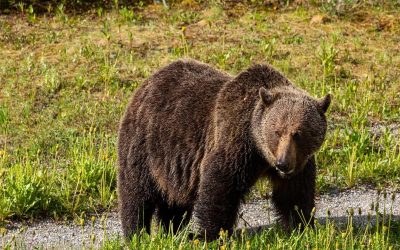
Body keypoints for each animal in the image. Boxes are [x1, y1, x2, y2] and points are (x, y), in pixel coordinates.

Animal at [117, 58, 330, 240]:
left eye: (298, 133)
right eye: (277, 131)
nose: (283, 163)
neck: (261, 152)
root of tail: (148, 82)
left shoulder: (299, 165)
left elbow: (295, 196)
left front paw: (301, 228)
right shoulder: (235, 143)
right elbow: (220, 188)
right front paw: (210, 235)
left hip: (174, 166)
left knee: (174, 201)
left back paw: (172, 231)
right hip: (145, 144)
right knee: (136, 192)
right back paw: (136, 234)